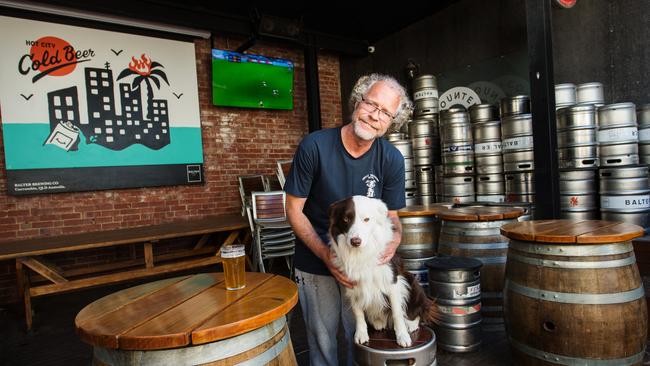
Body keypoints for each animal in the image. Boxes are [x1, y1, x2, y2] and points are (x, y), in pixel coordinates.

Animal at [330, 196, 436, 348]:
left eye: (366, 219)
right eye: (345, 219)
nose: (355, 241)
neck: (361, 252)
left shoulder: (393, 282)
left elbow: (397, 312)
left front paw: (402, 336)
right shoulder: (351, 285)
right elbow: (358, 312)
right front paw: (361, 334)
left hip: (411, 281)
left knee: (419, 309)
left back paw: (411, 324)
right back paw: (379, 322)